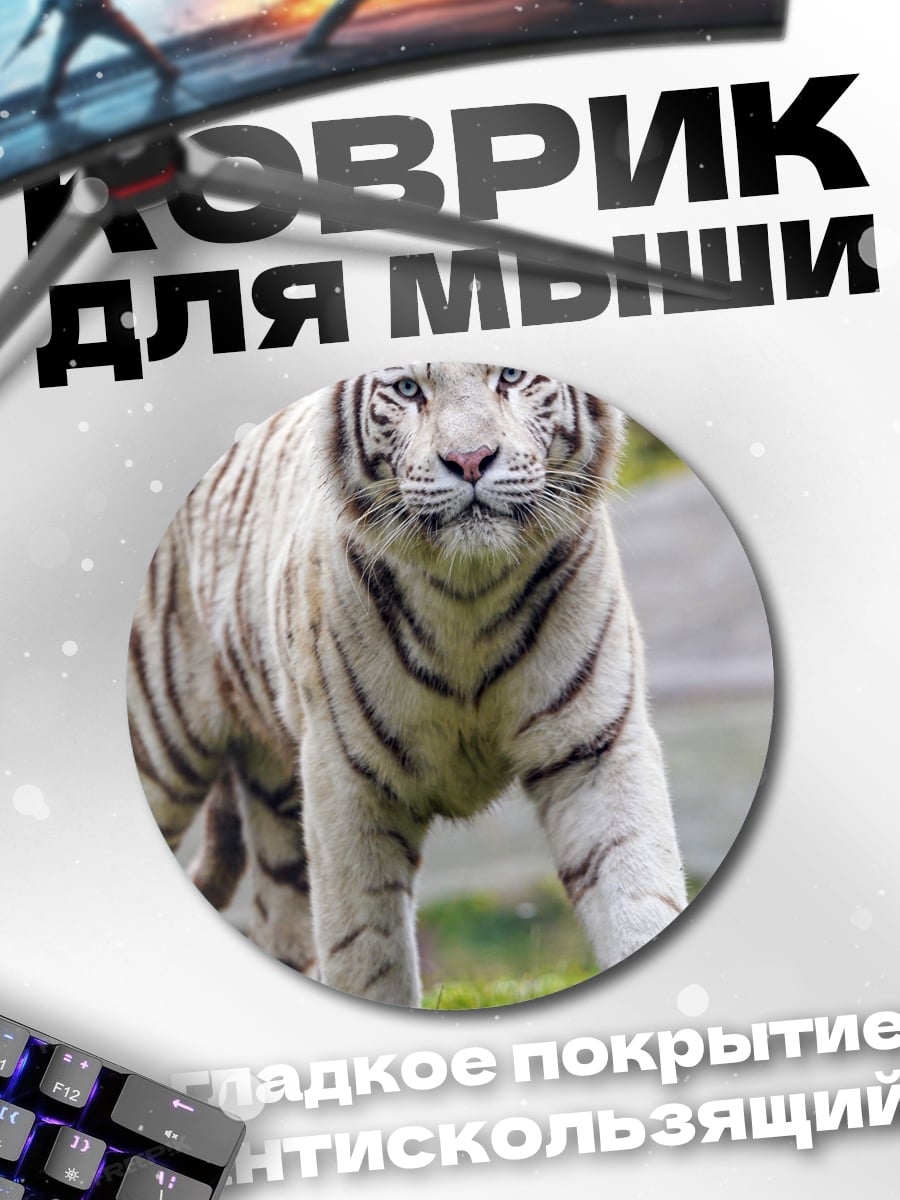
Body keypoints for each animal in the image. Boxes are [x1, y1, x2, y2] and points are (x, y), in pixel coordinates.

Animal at [127, 362, 686, 1007]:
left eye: (512, 375)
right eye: (408, 389)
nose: (470, 460)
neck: (469, 598)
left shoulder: (593, 748)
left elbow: (639, 893)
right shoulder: (346, 783)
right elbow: (367, 953)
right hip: (161, 748)